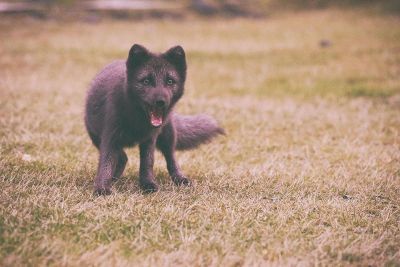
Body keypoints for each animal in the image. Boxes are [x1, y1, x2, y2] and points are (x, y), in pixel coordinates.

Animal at [84, 43, 223, 195]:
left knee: (171, 158)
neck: (137, 119)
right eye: (146, 81)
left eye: (170, 81)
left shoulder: (149, 139)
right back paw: (115, 177)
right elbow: (106, 163)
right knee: (122, 158)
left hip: (168, 135)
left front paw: (148, 184)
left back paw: (180, 179)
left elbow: (147, 163)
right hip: (96, 137)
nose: (161, 102)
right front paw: (102, 188)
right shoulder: (110, 138)